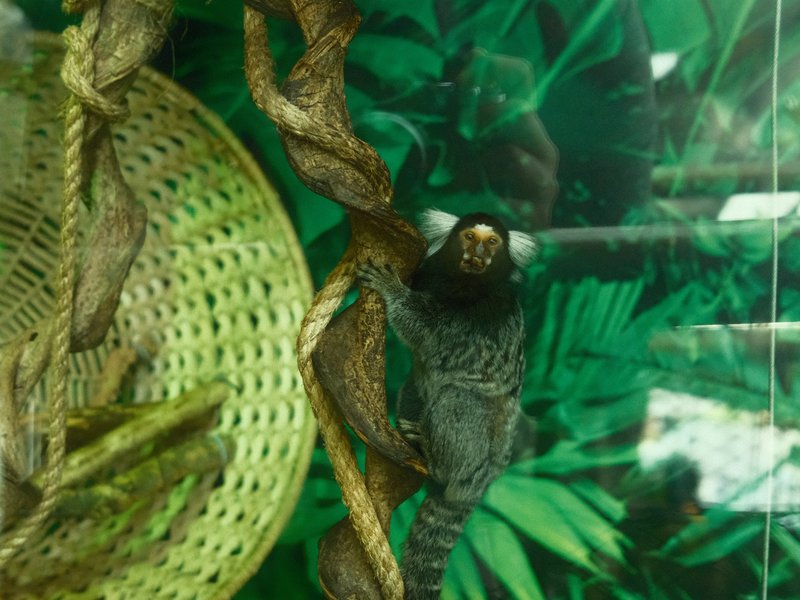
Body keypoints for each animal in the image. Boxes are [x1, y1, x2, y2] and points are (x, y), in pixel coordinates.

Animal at [358, 209, 537, 600]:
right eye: (469, 237)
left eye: (492, 242)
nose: (479, 254)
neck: (462, 284)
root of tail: (481, 485)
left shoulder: (485, 314)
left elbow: (430, 332)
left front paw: (392, 290)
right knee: (415, 387)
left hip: (475, 461)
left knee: (458, 399)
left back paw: (433, 458)